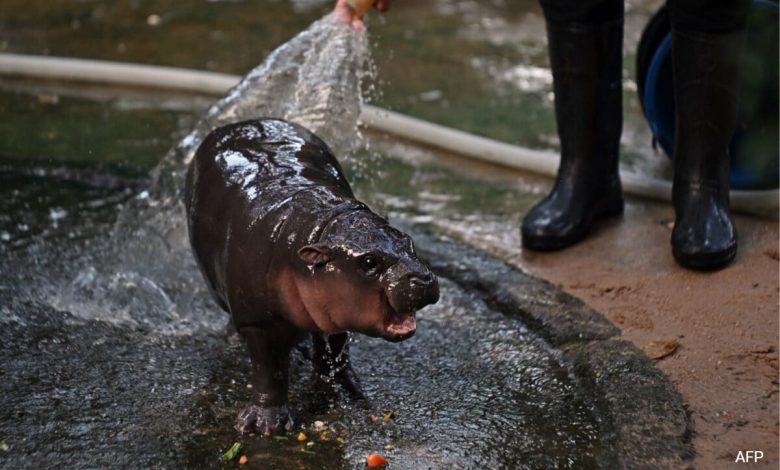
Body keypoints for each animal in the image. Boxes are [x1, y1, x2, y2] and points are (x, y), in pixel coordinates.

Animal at [184, 119, 438, 436]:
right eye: (369, 262)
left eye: (408, 241)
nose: (423, 279)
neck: (319, 227)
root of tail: (240, 123)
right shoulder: (258, 320)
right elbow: (269, 369)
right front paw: (265, 425)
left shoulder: (335, 309)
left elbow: (337, 348)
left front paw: (344, 392)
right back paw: (236, 340)